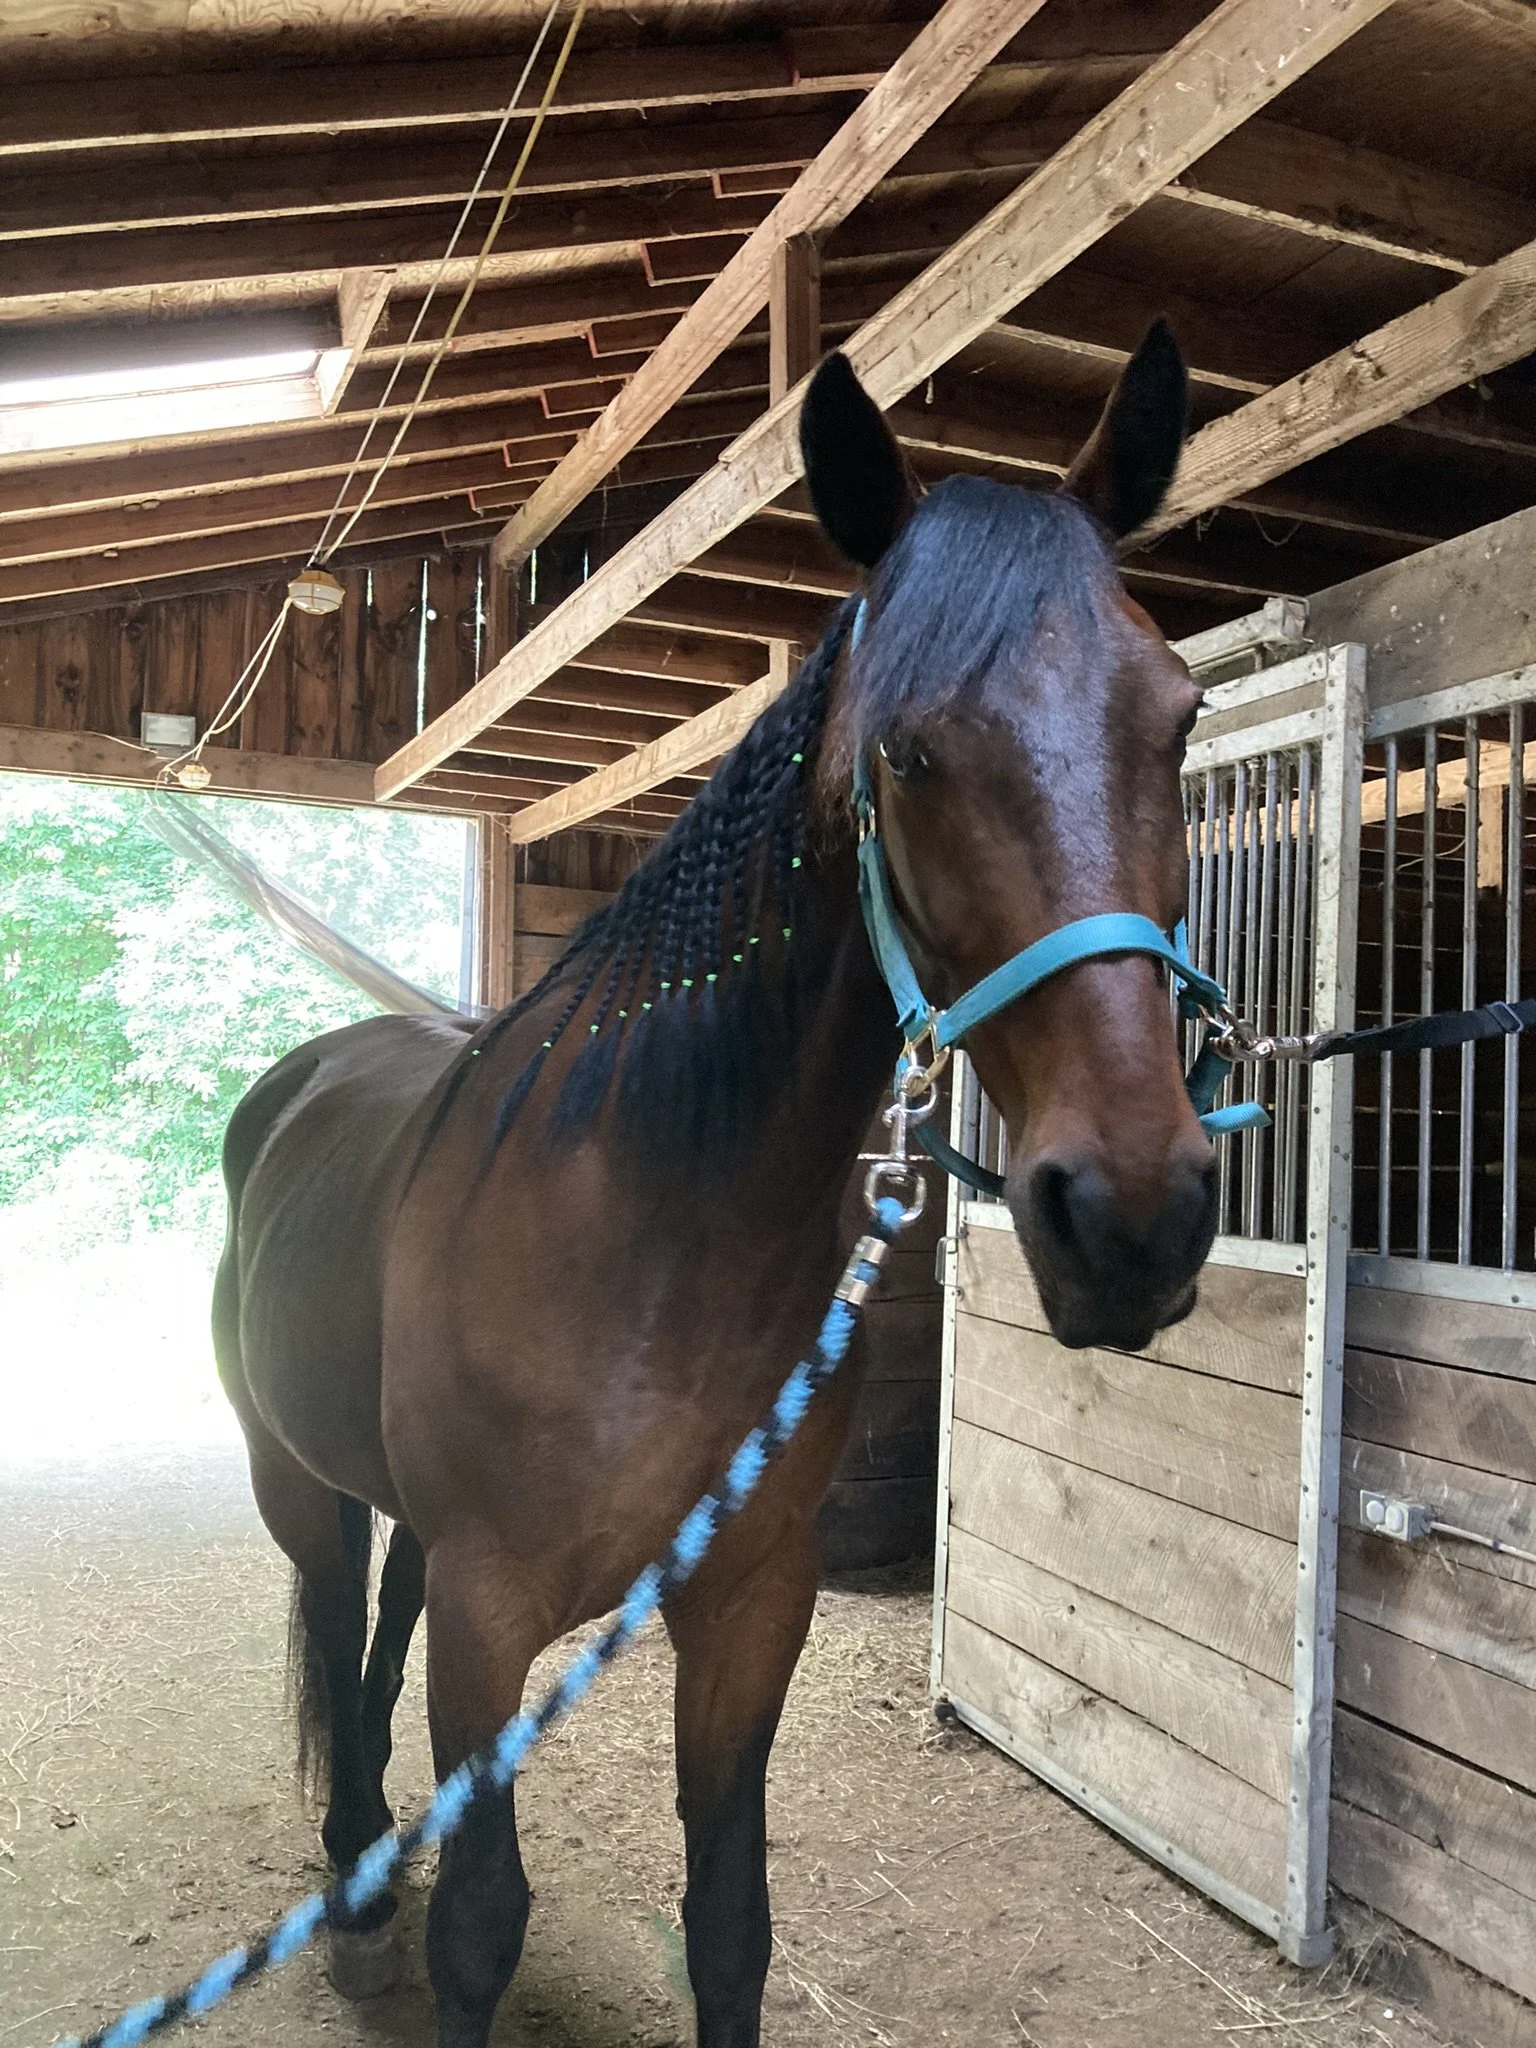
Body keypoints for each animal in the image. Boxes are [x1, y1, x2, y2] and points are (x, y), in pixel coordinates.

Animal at [212, 319, 1216, 2048]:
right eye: (909, 749)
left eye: (1181, 719)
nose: (1134, 1218)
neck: (659, 1238)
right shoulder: (495, 1611)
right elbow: (483, 1922)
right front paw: (425, 1912)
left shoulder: (750, 1603)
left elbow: (732, 1917)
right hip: (299, 1479)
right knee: (340, 1630)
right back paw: (354, 1892)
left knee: (373, 1632)